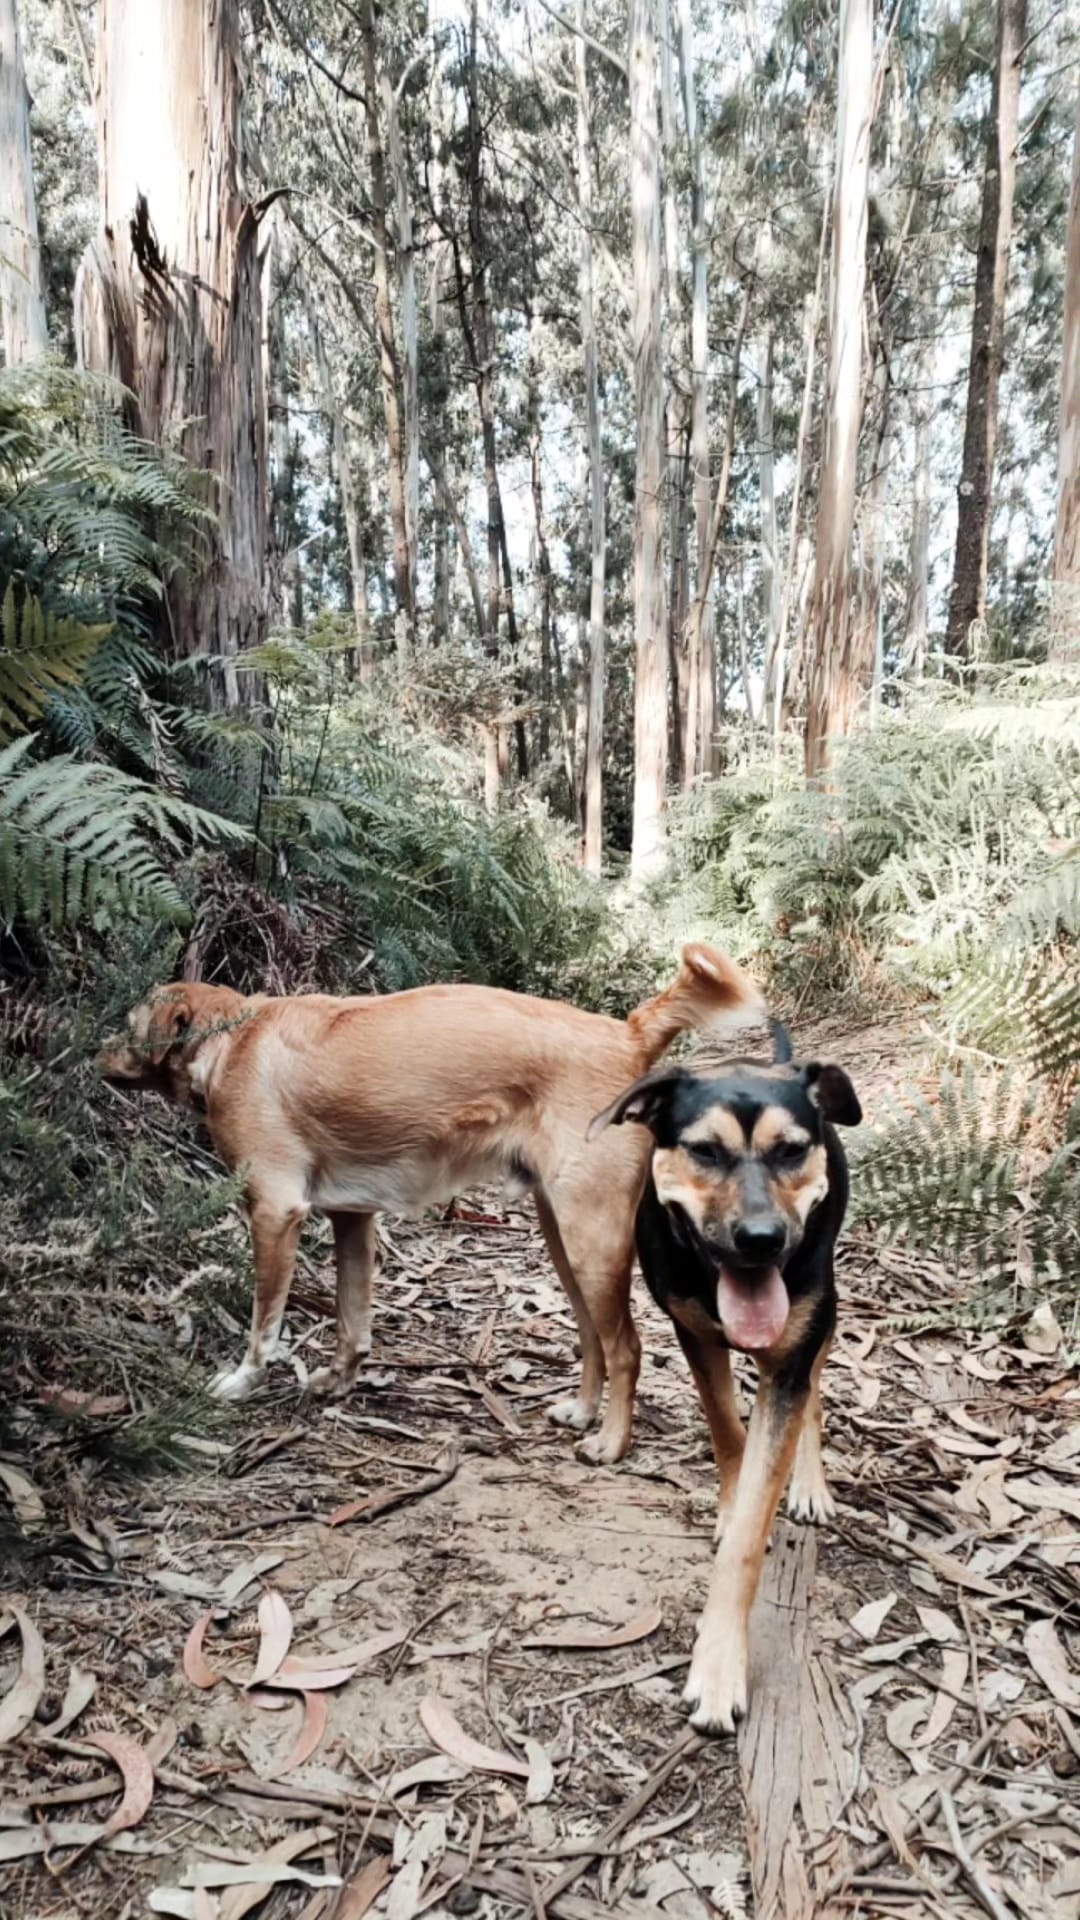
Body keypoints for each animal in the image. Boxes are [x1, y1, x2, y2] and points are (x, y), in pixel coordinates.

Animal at [98, 952, 757, 1459]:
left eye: (125, 1022)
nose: (90, 1049)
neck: (231, 1037)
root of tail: (626, 1035)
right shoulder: (353, 1219)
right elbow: (352, 1321)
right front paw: (339, 1381)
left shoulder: (275, 1214)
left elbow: (265, 1326)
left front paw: (242, 1382)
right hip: (565, 1239)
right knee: (594, 1337)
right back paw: (582, 1412)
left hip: (592, 1239)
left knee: (627, 1347)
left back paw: (612, 1443)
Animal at [588, 1029, 857, 1735]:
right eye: (705, 1151)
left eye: (791, 1150)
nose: (761, 1239)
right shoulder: (695, 1336)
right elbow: (728, 1433)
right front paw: (731, 1500)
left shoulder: (791, 1350)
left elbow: (746, 1539)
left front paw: (717, 1667)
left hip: (820, 1311)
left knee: (814, 1393)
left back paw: (809, 1484)